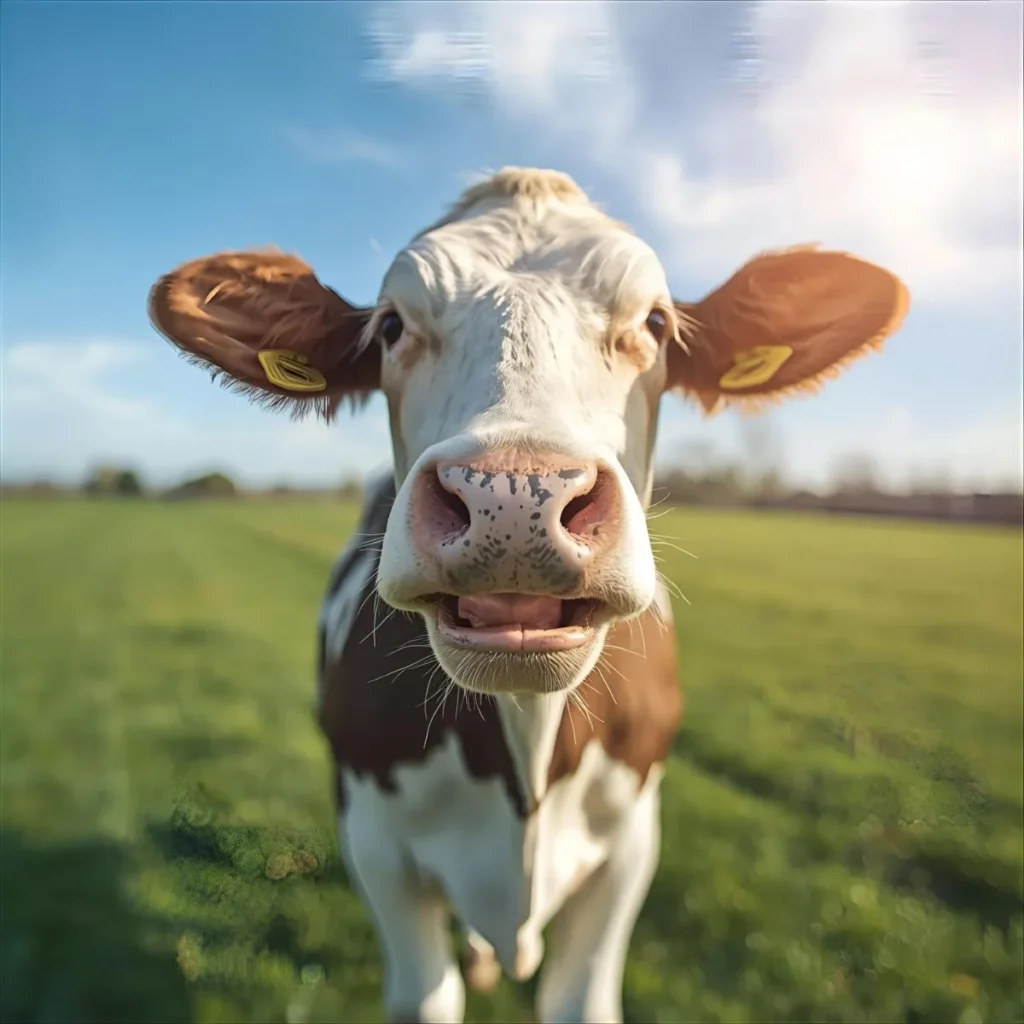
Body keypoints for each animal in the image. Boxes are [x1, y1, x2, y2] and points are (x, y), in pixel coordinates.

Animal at [148, 167, 909, 1024]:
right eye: (390, 326)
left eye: (654, 321)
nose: (512, 498)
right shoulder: (374, 842)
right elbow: (429, 994)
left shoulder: (630, 848)